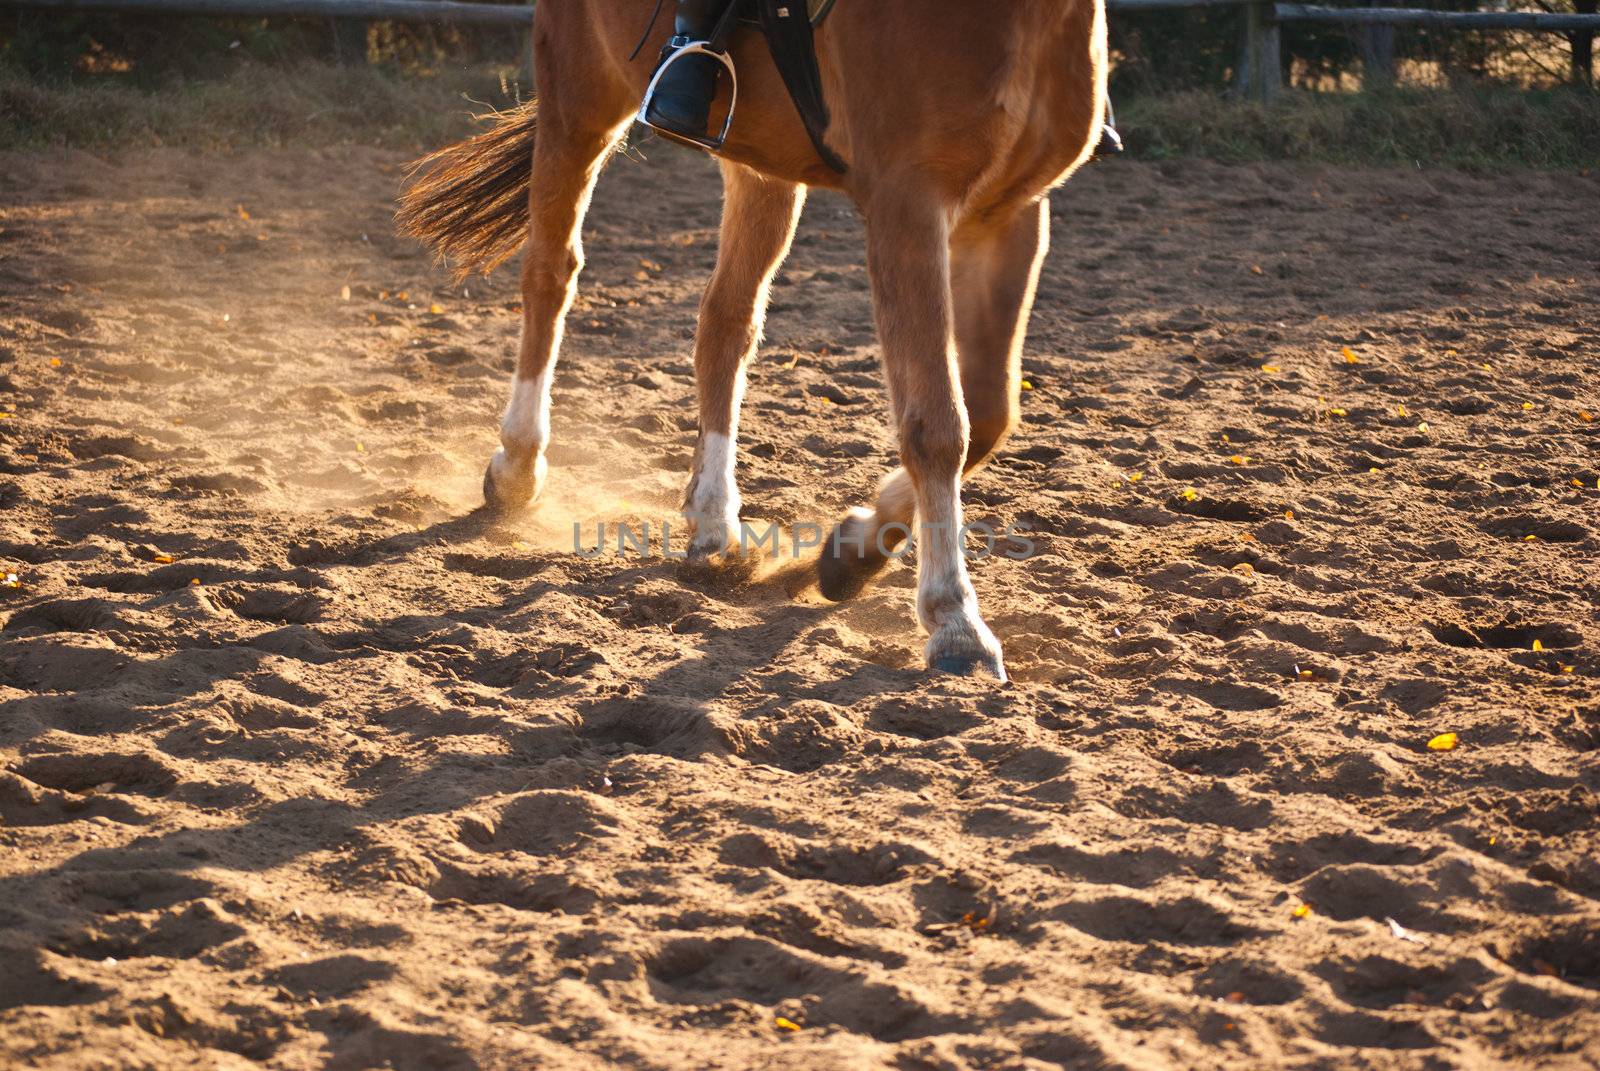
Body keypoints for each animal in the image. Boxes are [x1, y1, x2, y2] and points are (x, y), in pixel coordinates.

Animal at [400, 0, 1107, 675]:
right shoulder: (908, 204)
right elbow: (938, 426)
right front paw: (955, 622)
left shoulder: (1009, 212)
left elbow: (990, 415)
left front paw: (852, 550)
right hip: (580, 97)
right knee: (552, 273)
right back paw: (518, 464)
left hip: (761, 158)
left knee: (726, 321)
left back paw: (713, 519)